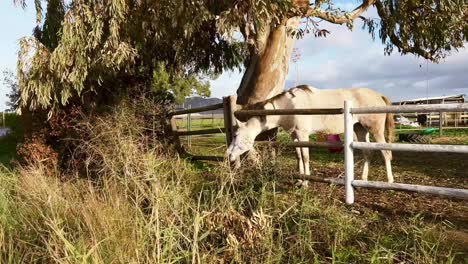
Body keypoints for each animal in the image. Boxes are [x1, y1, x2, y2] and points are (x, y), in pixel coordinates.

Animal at [227, 85, 394, 183]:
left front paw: (306, 182)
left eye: (236, 136)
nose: (229, 155)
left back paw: (390, 180)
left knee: (386, 153)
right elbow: (299, 156)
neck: (289, 106)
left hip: (376, 130)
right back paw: (363, 179)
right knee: (367, 153)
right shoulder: (294, 136)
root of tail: (379, 95)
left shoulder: (303, 135)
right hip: (360, 129)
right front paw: (300, 180)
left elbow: (306, 157)